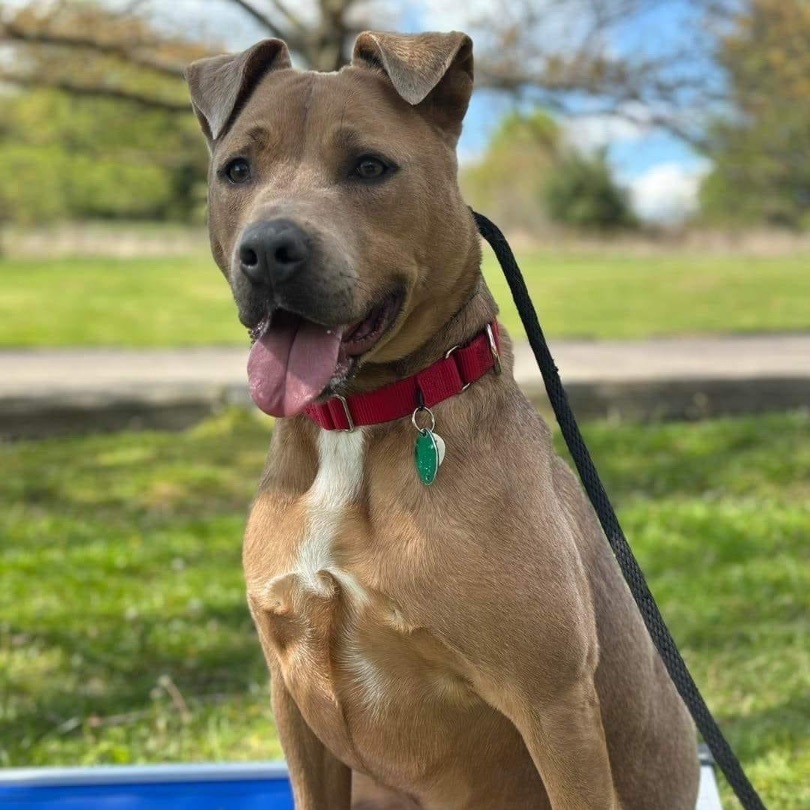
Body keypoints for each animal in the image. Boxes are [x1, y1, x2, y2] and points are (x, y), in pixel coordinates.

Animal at [186, 31, 696, 808]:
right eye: (236, 169)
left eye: (370, 166)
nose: (268, 250)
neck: (356, 424)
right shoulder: (293, 699)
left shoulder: (552, 703)